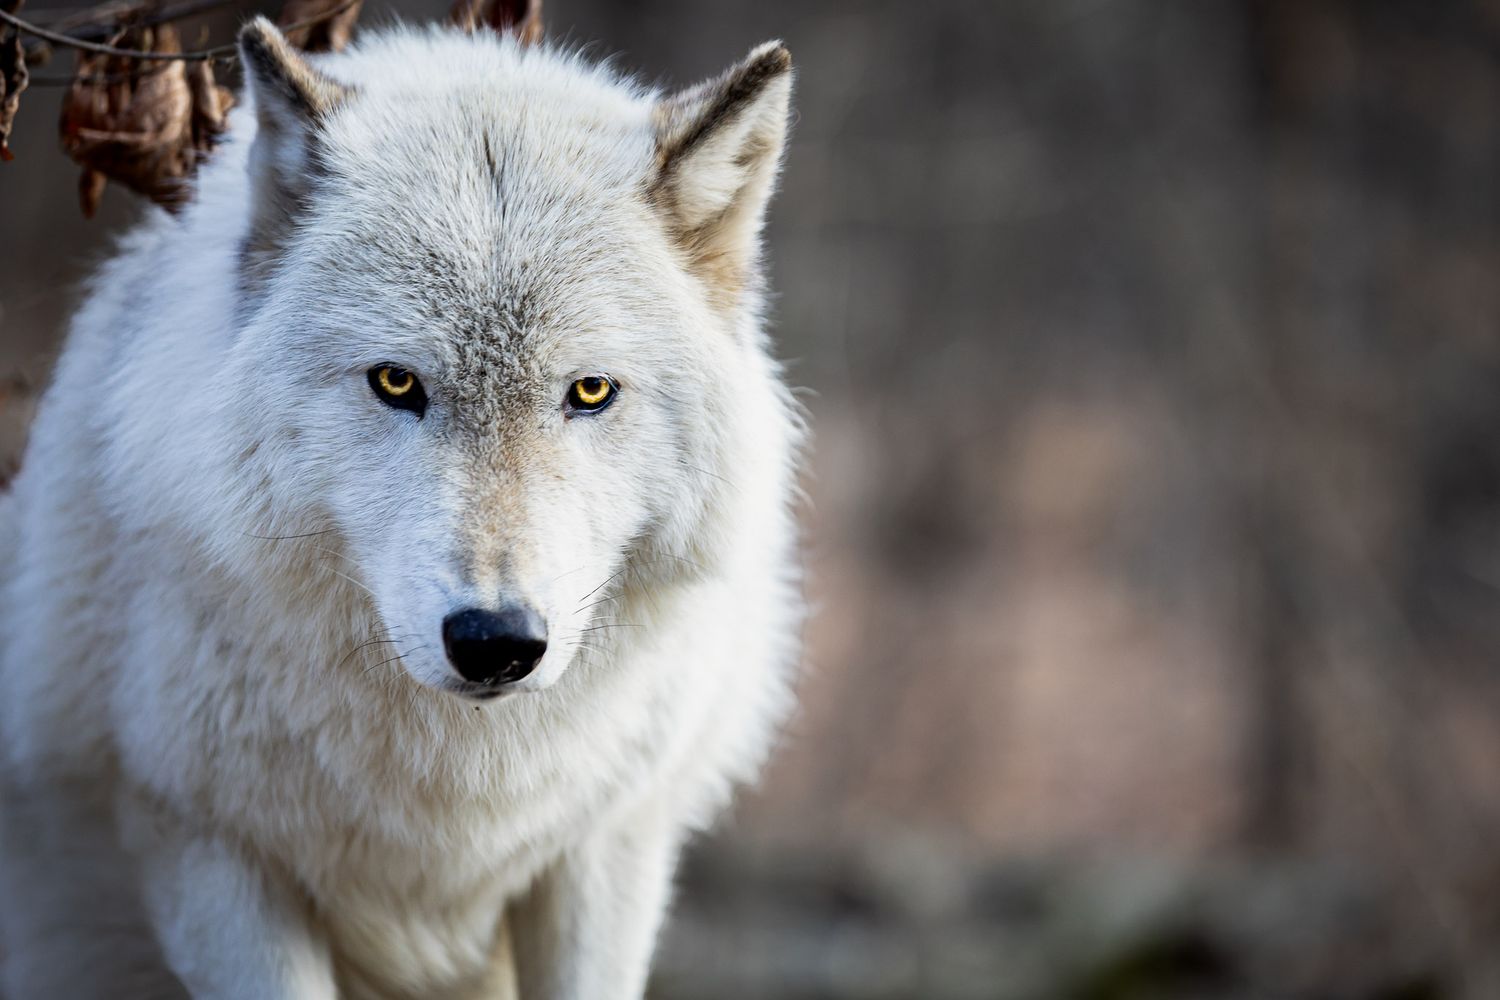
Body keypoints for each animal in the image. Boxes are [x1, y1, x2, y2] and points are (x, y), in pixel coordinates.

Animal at [0, 14, 800, 999]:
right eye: (395, 383)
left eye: (590, 391)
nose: (495, 642)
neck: (454, 782)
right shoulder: (205, 850)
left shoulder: (606, 851)